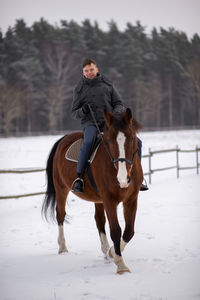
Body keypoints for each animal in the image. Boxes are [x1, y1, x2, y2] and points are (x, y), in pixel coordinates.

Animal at [41, 108, 144, 274]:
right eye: (108, 141)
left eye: (132, 139)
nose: (122, 179)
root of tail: (64, 138)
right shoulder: (109, 200)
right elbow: (116, 230)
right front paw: (120, 264)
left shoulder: (131, 199)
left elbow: (129, 231)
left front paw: (112, 252)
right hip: (61, 189)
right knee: (60, 215)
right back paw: (62, 248)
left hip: (98, 199)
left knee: (99, 220)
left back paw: (105, 250)